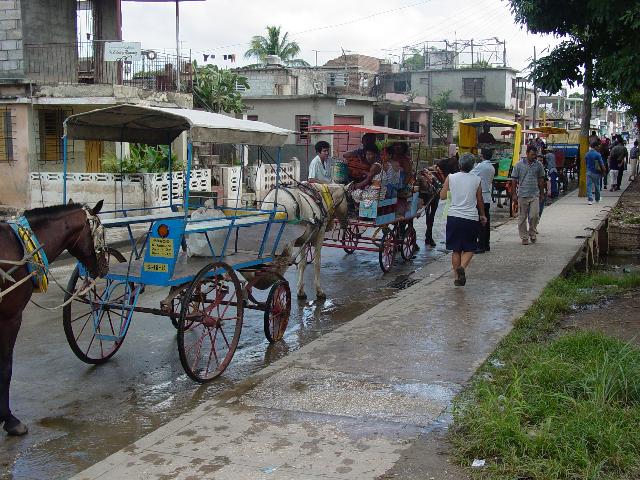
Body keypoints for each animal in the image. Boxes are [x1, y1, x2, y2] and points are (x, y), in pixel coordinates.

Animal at [0, 199, 107, 436]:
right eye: (101, 233)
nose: (104, 268)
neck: (21, 246)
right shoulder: (11, 317)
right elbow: (6, 366)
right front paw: (10, 420)